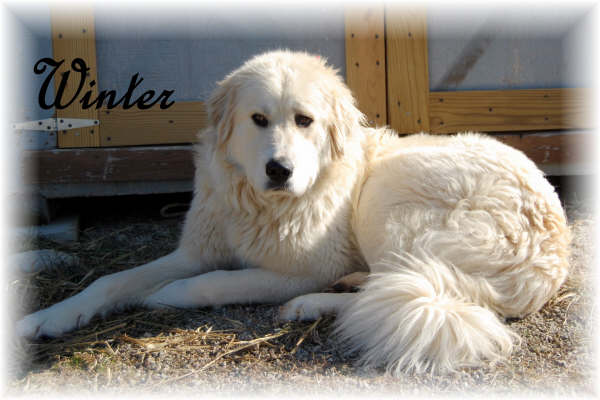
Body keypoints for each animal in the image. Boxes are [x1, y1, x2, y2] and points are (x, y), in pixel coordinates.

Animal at [17, 50, 572, 376]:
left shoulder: (300, 268)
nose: (279, 169)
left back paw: (310, 305)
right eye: (258, 119)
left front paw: (168, 295)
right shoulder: (197, 249)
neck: (262, 204)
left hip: (388, 196)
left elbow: (216, 282)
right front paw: (48, 318)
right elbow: (109, 282)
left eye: (305, 120)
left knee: (412, 291)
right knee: (402, 286)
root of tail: (546, 259)